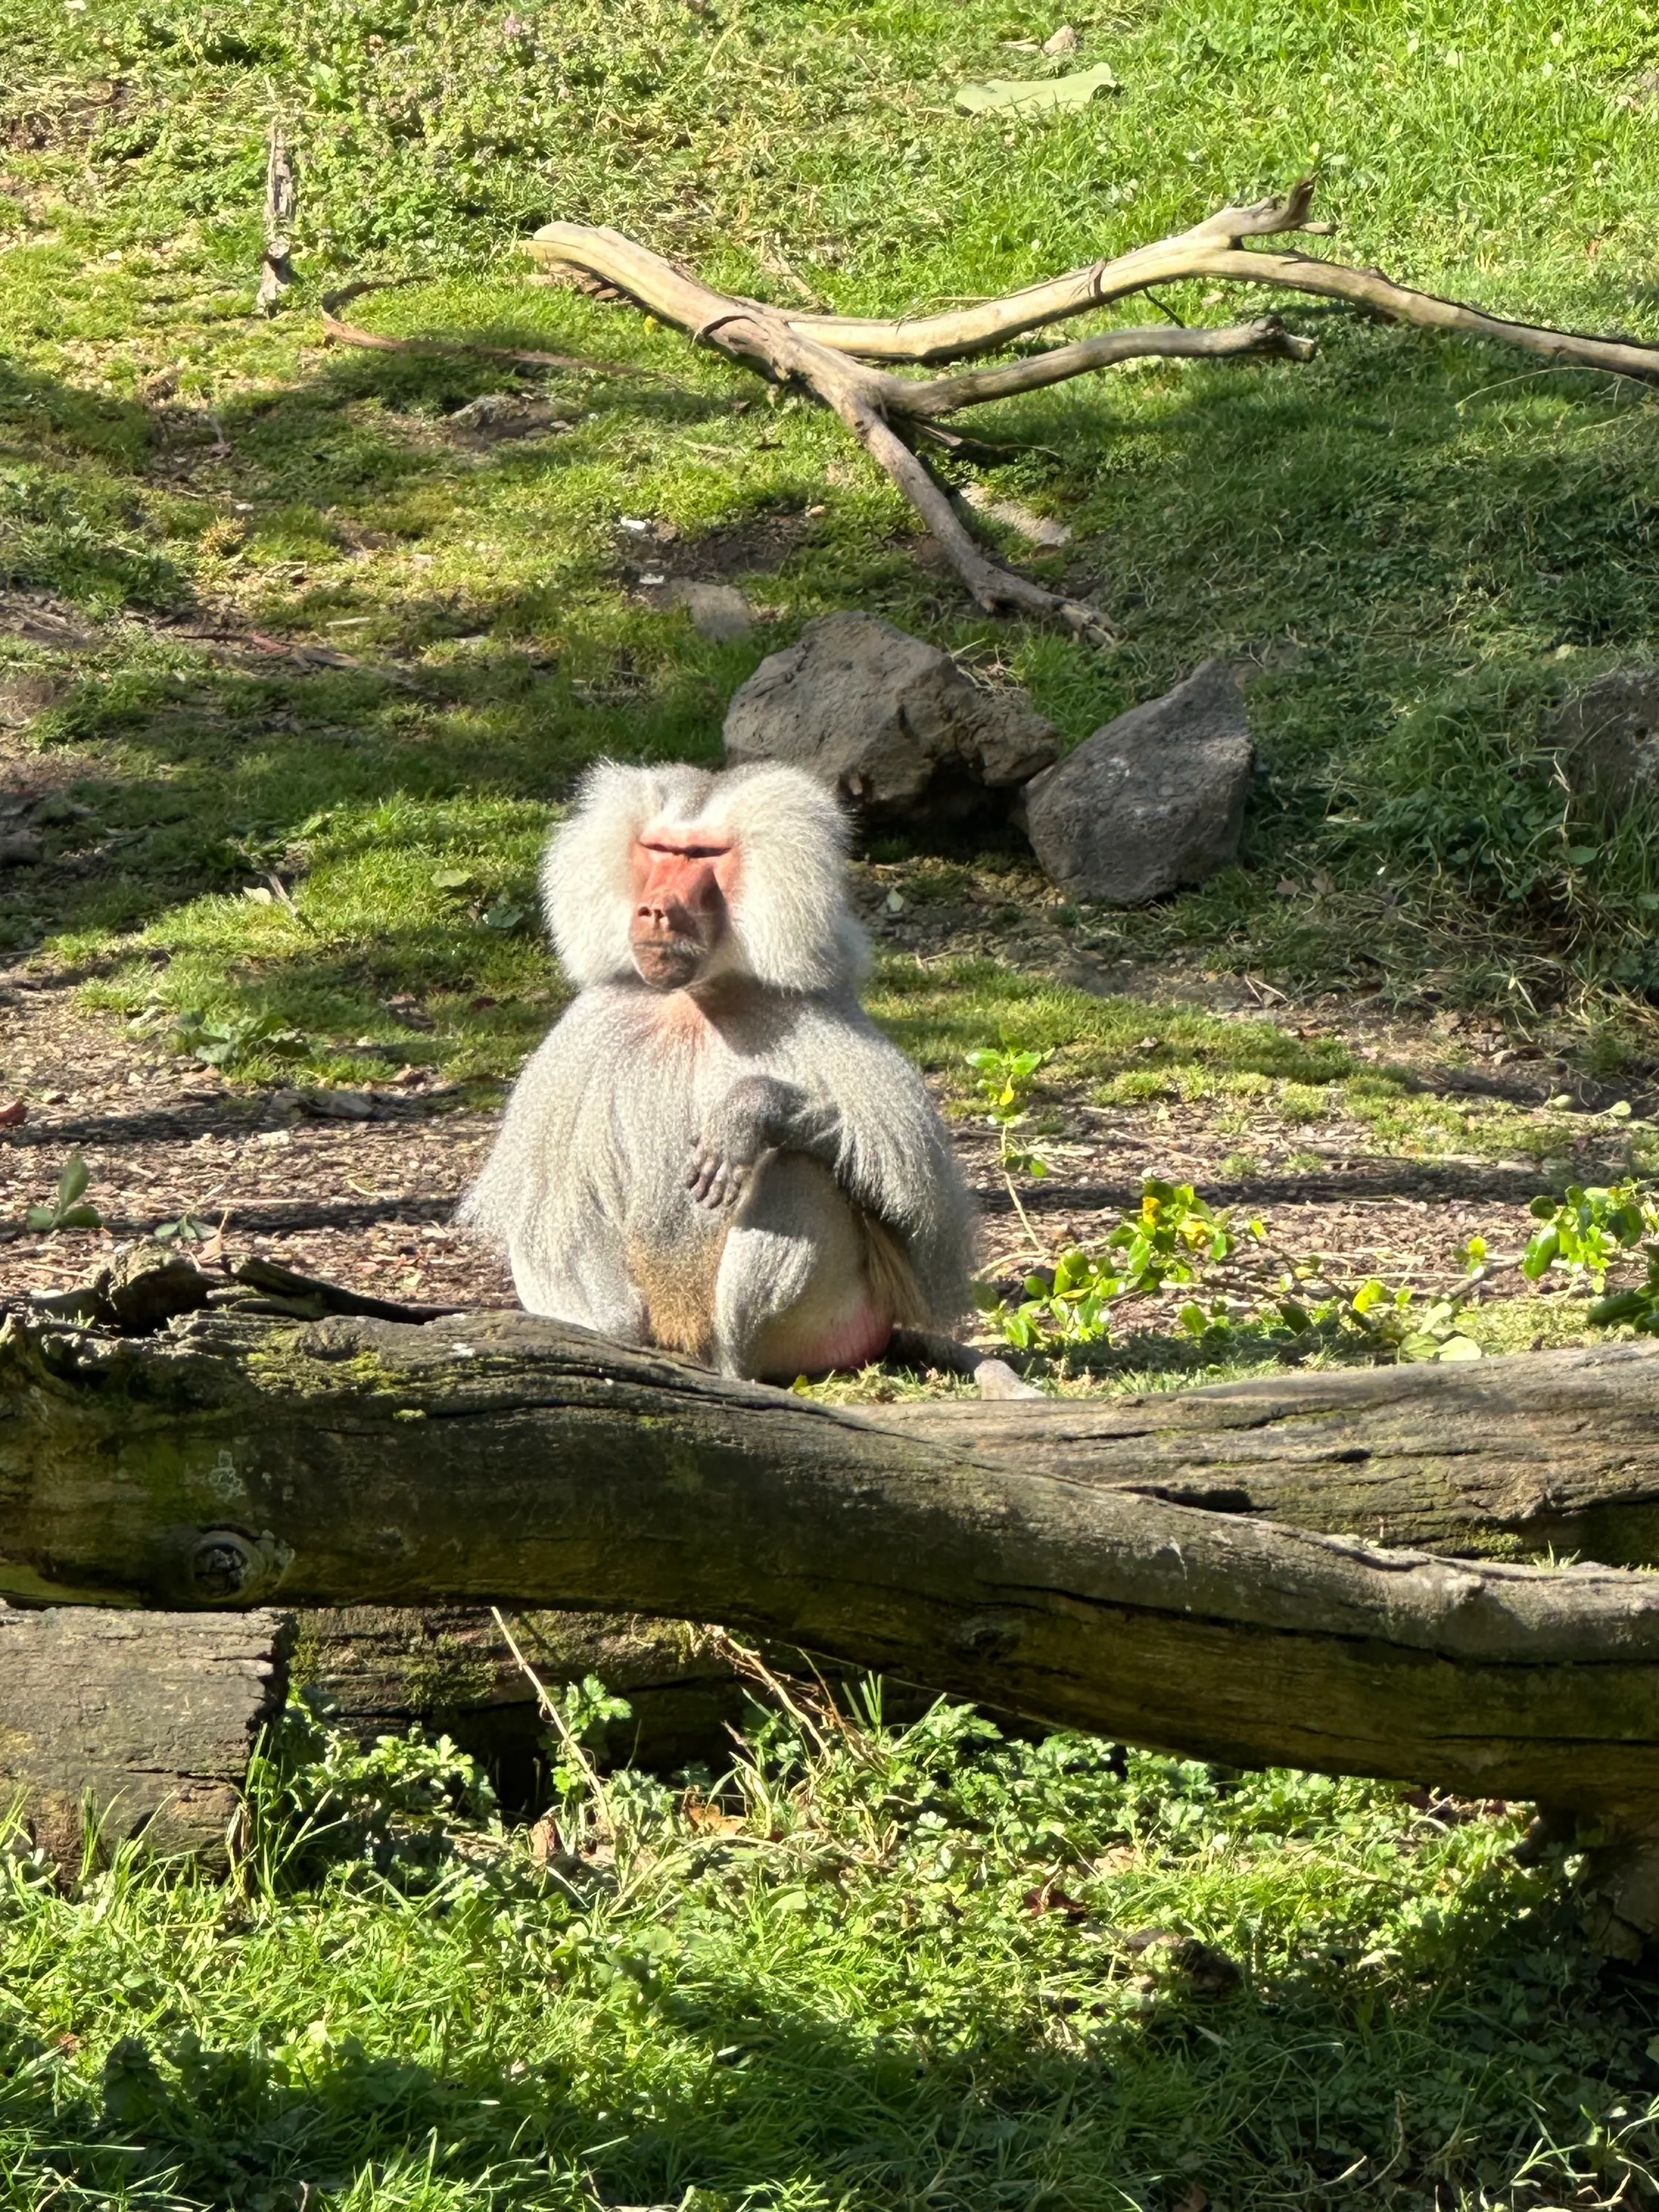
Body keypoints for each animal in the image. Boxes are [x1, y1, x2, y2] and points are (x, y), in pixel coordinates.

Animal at [458, 758, 977, 1383]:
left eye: (704, 855)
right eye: (660, 850)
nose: (656, 910)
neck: (697, 1000)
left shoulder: (824, 1020)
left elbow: (918, 1219)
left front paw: (746, 1113)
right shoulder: (590, 1029)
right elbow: (551, 1202)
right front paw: (608, 1341)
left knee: (797, 1167)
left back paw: (736, 1368)